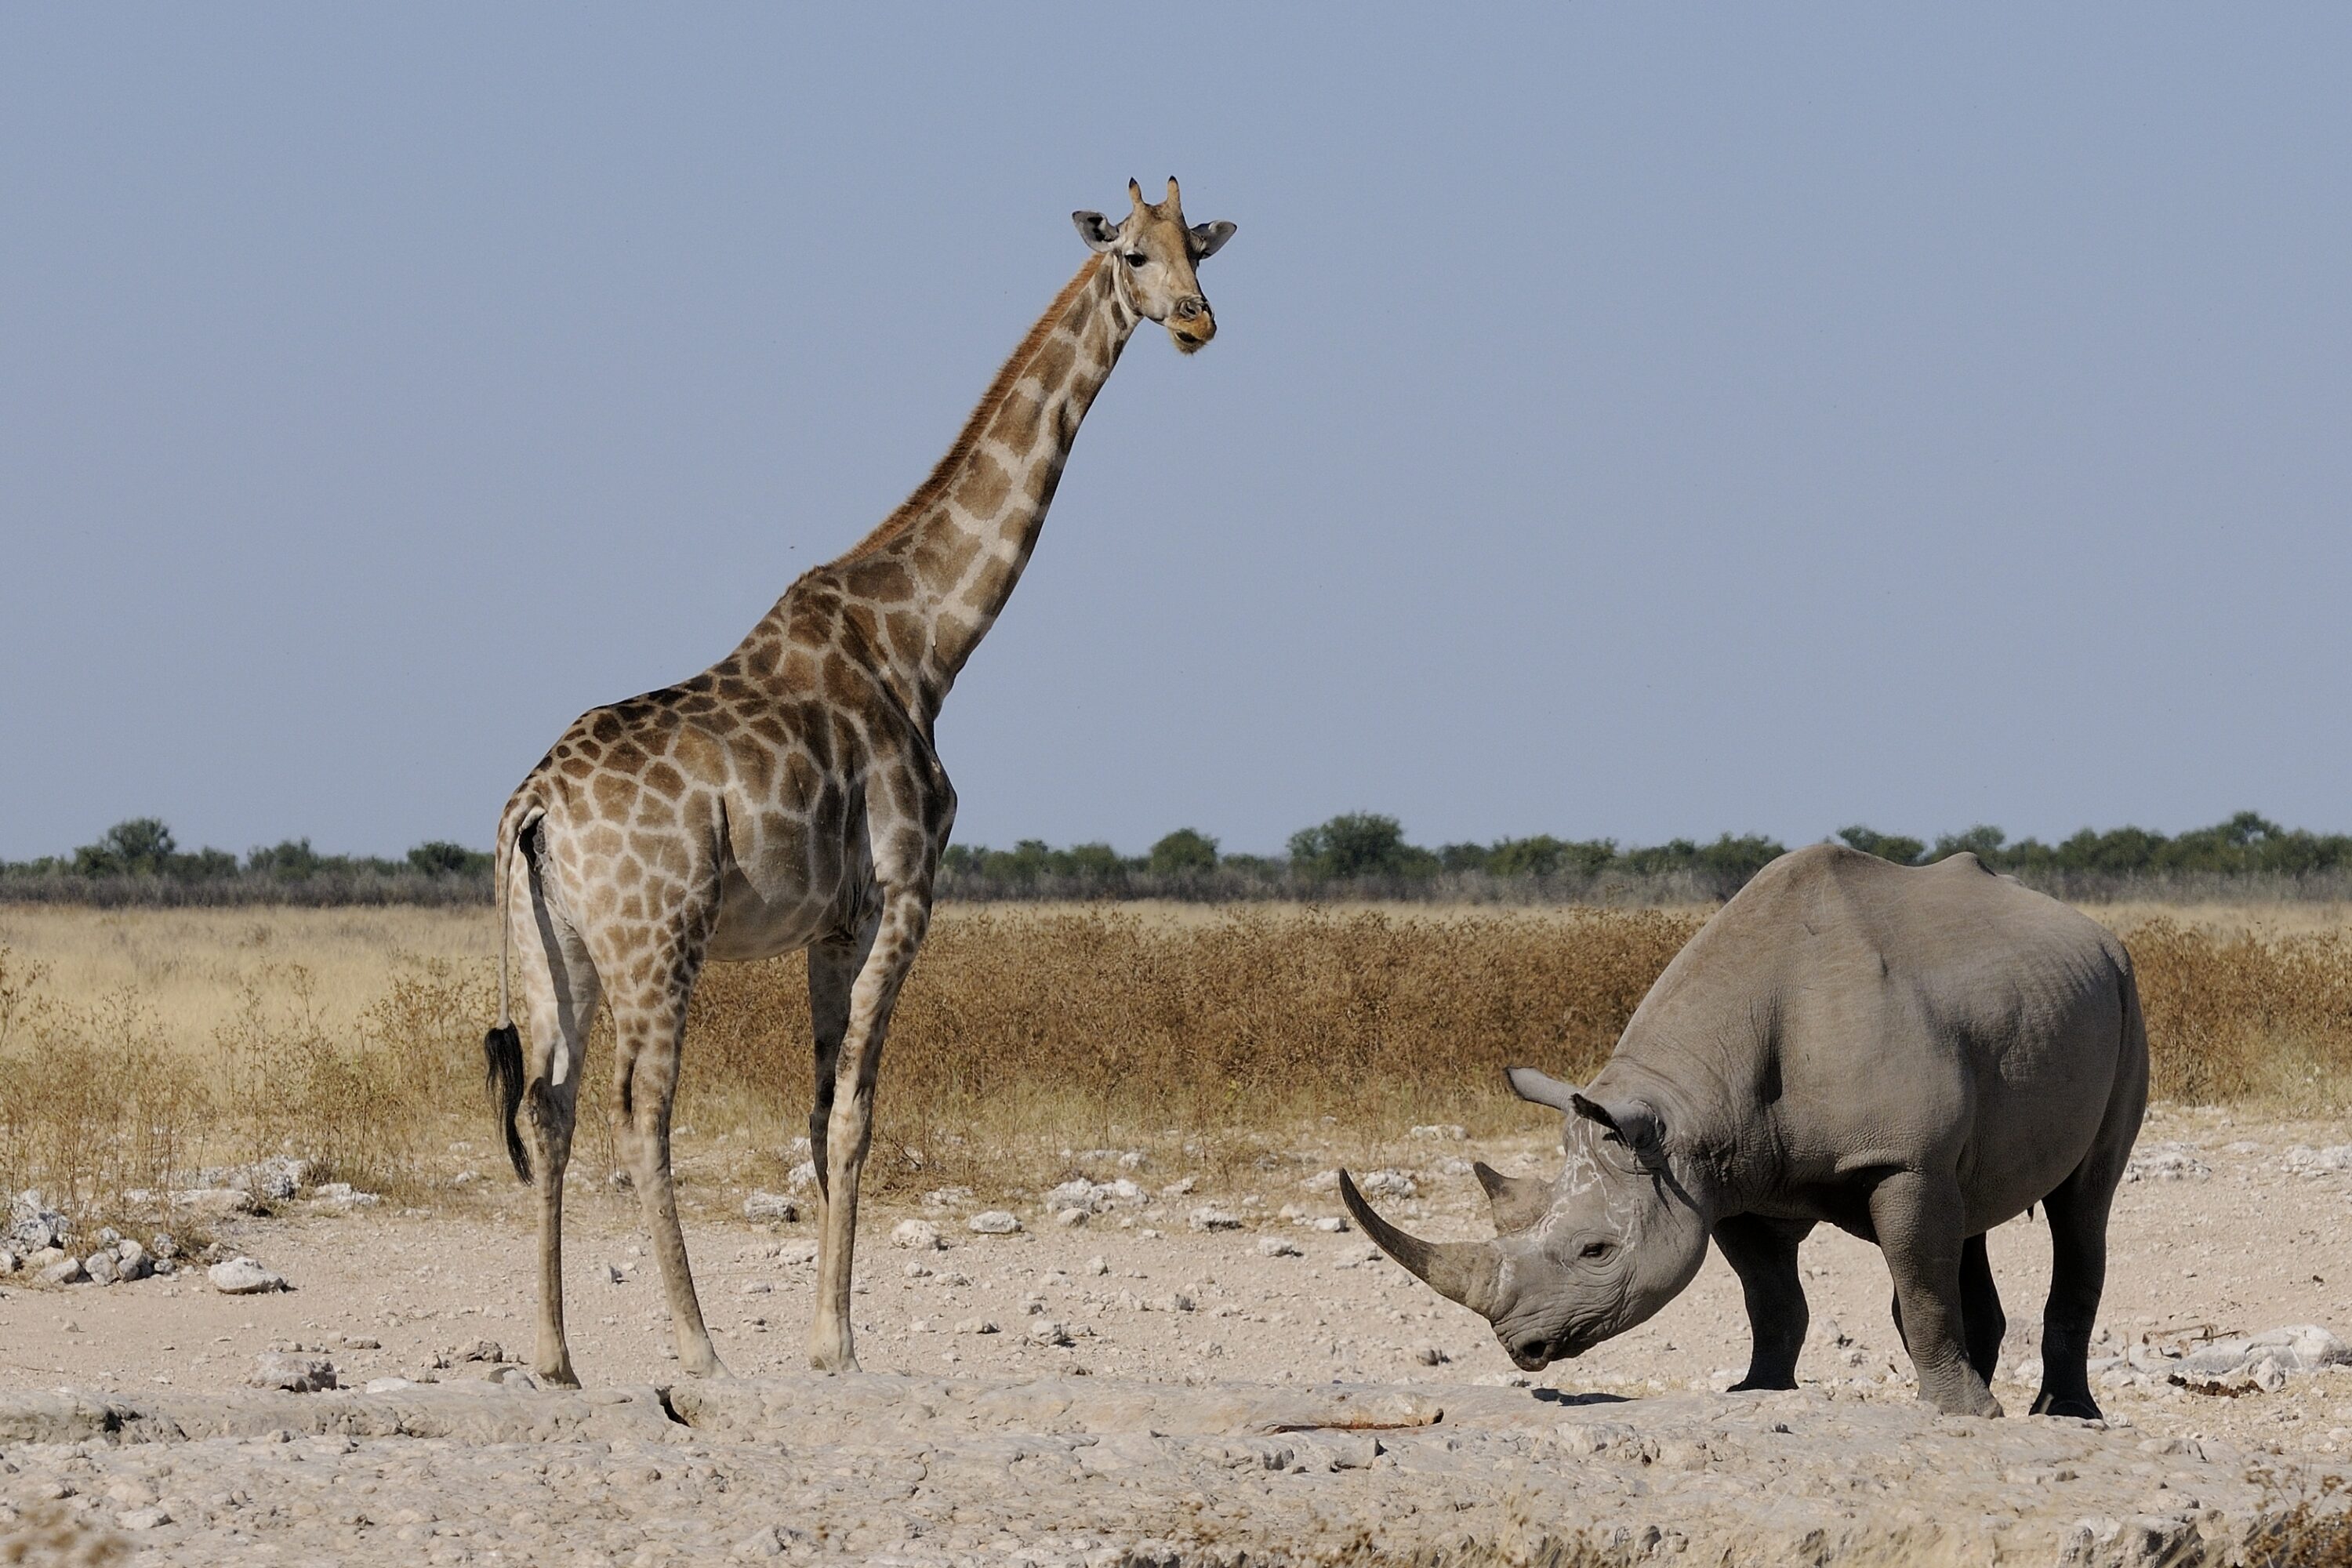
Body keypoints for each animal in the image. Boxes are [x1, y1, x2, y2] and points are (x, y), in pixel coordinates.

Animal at [482, 179, 1236, 1383]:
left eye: (1196, 250)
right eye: (1130, 253)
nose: (1198, 321)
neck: (925, 643)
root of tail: (533, 806)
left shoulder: (830, 925)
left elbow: (815, 1110)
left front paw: (825, 1332)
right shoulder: (904, 894)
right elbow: (856, 1115)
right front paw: (837, 1342)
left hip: (556, 950)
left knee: (548, 1107)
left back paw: (556, 1357)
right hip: (659, 938)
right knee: (638, 1110)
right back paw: (697, 1348)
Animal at [1342, 844, 2148, 1418]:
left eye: (1596, 1251)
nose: (1520, 1346)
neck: (1681, 1110)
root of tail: (2093, 931)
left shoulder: (1898, 1158)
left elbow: (1919, 1285)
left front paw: (1963, 1417)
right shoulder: (1720, 1178)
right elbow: (1772, 1298)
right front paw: (1758, 1393)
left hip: (2123, 989)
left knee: (2085, 1201)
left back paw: (2066, 1415)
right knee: (1969, 1209)